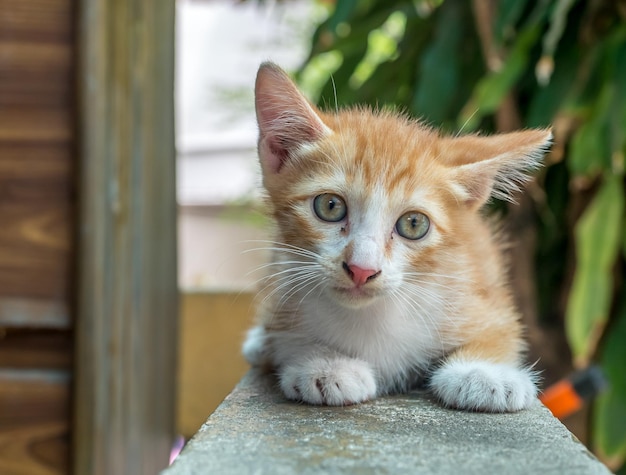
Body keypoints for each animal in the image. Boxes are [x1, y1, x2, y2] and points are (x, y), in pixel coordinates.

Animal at [241, 62, 548, 412]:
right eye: (330, 206)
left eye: (414, 224)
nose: (362, 269)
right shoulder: (284, 282)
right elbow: (282, 334)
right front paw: (324, 363)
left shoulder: (479, 292)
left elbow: (503, 331)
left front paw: (484, 372)